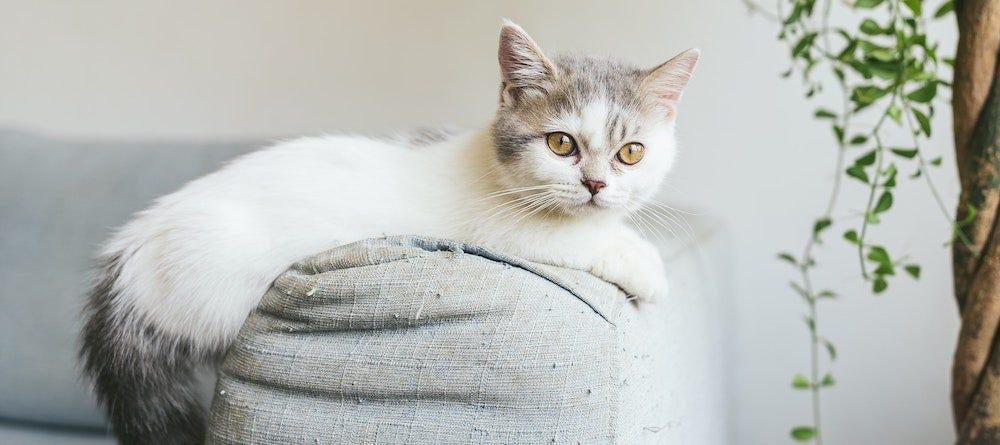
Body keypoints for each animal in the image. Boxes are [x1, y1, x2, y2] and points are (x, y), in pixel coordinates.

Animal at [82, 21, 700, 444]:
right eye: (561, 143)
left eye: (631, 152)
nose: (595, 184)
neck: (489, 167)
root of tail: (132, 250)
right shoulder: (500, 225)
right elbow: (571, 238)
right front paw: (645, 264)